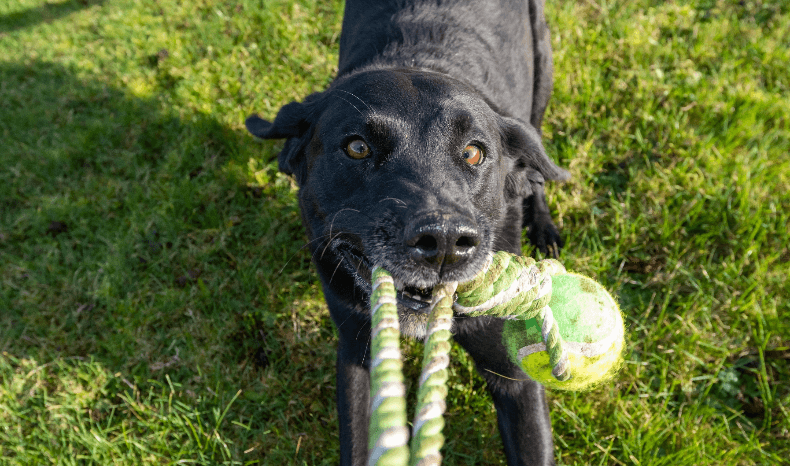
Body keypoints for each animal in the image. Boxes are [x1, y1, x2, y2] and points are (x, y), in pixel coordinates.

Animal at [248, 1, 568, 464]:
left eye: (474, 153)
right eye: (357, 147)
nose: (445, 242)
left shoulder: (515, 377)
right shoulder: (359, 352)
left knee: (538, 167)